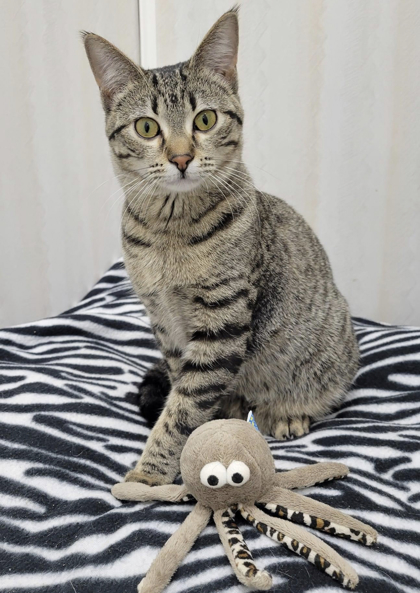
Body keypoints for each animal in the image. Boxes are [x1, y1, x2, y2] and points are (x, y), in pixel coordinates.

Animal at [83, 6, 360, 484]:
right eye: (146, 127)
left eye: (205, 120)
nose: (180, 157)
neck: (168, 234)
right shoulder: (166, 325)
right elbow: (185, 394)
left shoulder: (222, 320)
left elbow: (183, 406)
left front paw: (148, 475)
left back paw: (286, 412)